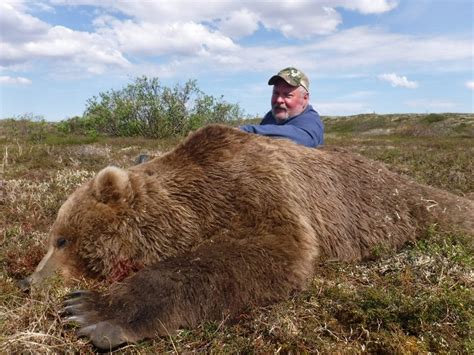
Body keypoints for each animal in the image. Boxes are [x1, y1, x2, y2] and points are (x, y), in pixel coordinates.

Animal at [23, 124, 474, 350]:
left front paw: (91, 311)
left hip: (408, 207)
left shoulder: (261, 190)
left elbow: (269, 252)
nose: (28, 282)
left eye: (62, 240)